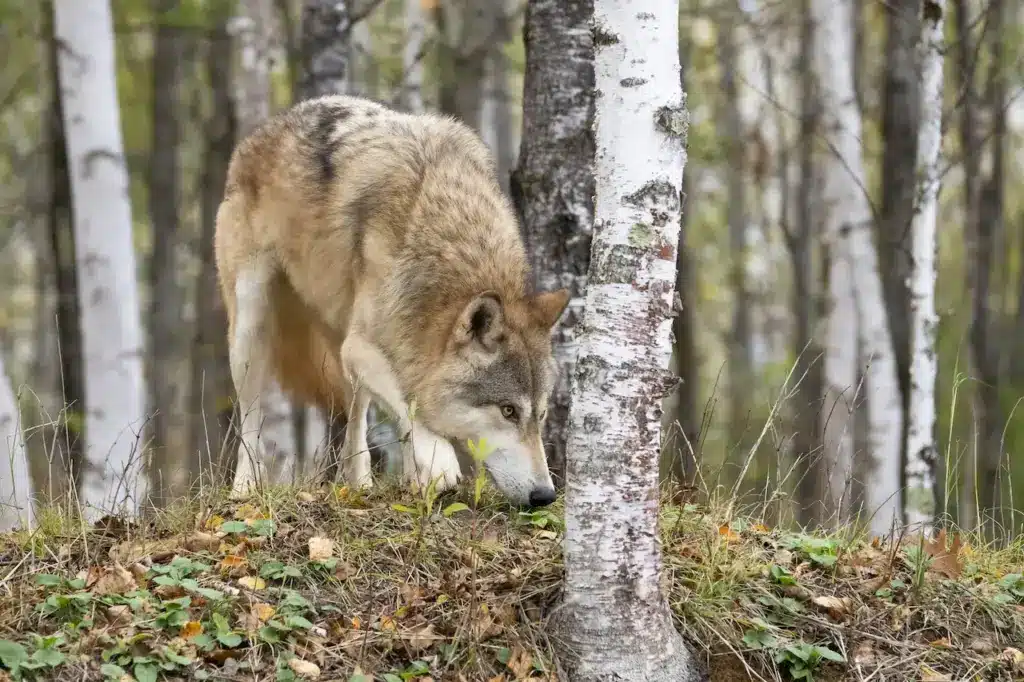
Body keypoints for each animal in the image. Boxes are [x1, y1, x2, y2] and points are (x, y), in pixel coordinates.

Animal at [212, 93, 573, 503]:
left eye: (540, 415)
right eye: (509, 410)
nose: (545, 495)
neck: (454, 242)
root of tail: (270, 126)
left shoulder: (373, 347)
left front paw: (419, 479)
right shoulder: (361, 347)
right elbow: (409, 401)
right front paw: (439, 461)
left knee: (354, 417)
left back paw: (360, 483)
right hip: (251, 330)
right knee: (250, 418)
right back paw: (244, 488)